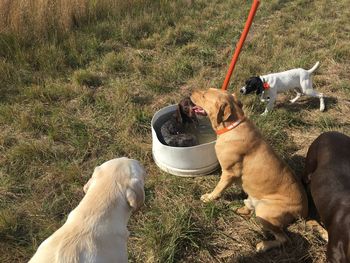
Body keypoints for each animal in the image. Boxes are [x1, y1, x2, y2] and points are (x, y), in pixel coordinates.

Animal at [190, 89, 308, 254]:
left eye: (204, 95)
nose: (191, 92)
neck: (232, 126)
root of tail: (303, 211)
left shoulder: (229, 172)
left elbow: (218, 188)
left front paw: (209, 198)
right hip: (254, 203)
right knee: (249, 210)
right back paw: (238, 209)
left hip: (265, 212)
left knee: (284, 239)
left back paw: (263, 245)